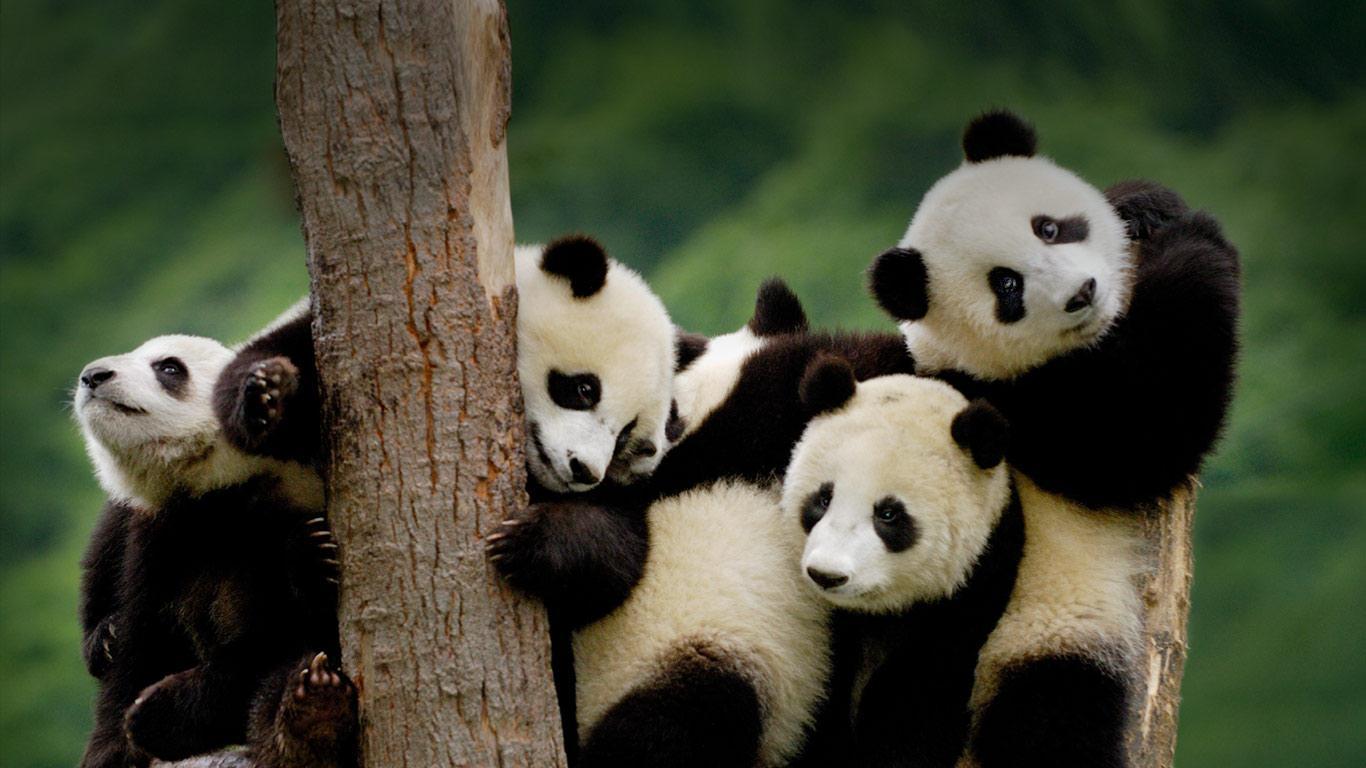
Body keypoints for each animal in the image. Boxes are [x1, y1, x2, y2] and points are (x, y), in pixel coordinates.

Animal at [73, 331, 356, 768]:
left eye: (169, 367)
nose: (93, 375)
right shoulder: (158, 538)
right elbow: (139, 645)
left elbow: (272, 641)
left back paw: (311, 716)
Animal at [866, 111, 1240, 767]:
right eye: (1007, 286)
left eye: (1048, 227)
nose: (1082, 293)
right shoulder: (1015, 407)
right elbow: (1142, 433)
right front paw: (1197, 238)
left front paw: (1146, 204)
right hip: (1040, 633)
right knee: (1049, 721)